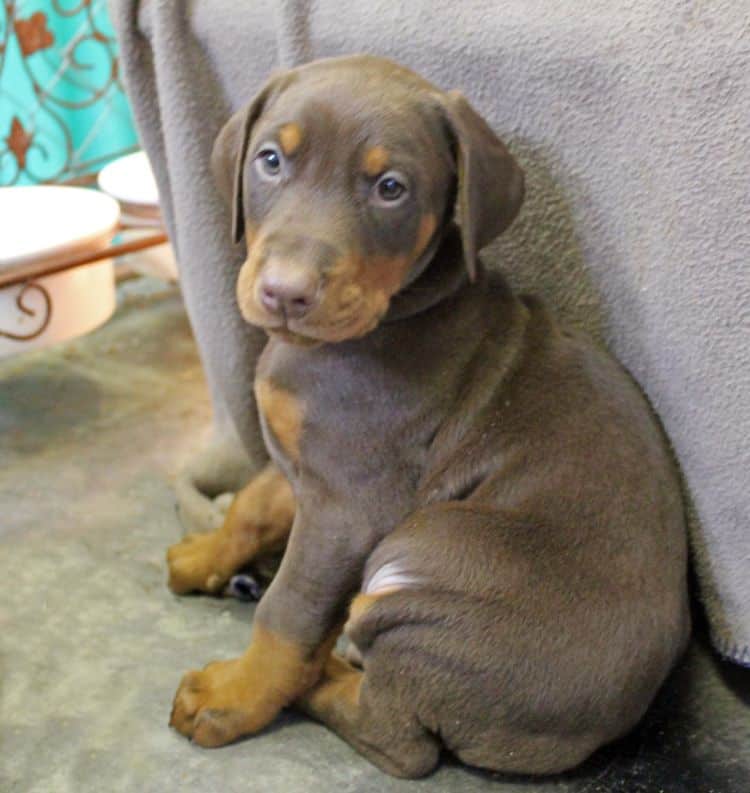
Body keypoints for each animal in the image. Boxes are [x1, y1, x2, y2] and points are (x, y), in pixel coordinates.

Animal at [166, 55, 692, 780]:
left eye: (392, 188)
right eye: (270, 160)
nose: (284, 293)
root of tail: (578, 735)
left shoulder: (351, 505)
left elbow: (289, 610)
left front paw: (235, 695)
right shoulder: (308, 464)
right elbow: (251, 505)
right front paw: (204, 555)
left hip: (426, 556)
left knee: (398, 737)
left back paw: (319, 677)